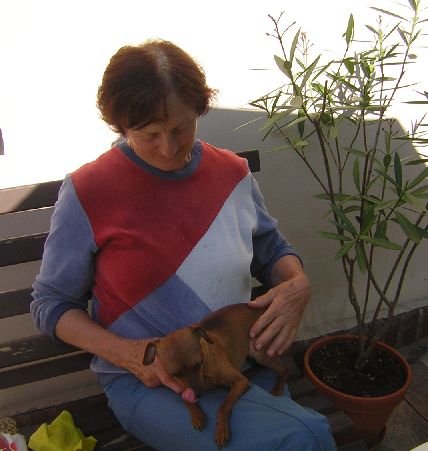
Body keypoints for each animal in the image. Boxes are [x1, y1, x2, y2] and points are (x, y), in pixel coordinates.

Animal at [142, 303, 288, 447]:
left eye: (199, 363)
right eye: (174, 374)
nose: (197, 394)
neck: (206, 372)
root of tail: (262, 308)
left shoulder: (240, 382)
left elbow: (223, 405)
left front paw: (222, 431)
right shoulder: (182, 386)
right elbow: (184, 397)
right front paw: (197, 415)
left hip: (258, 351)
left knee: (284, 370)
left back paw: (277, 389)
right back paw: (249, 372)